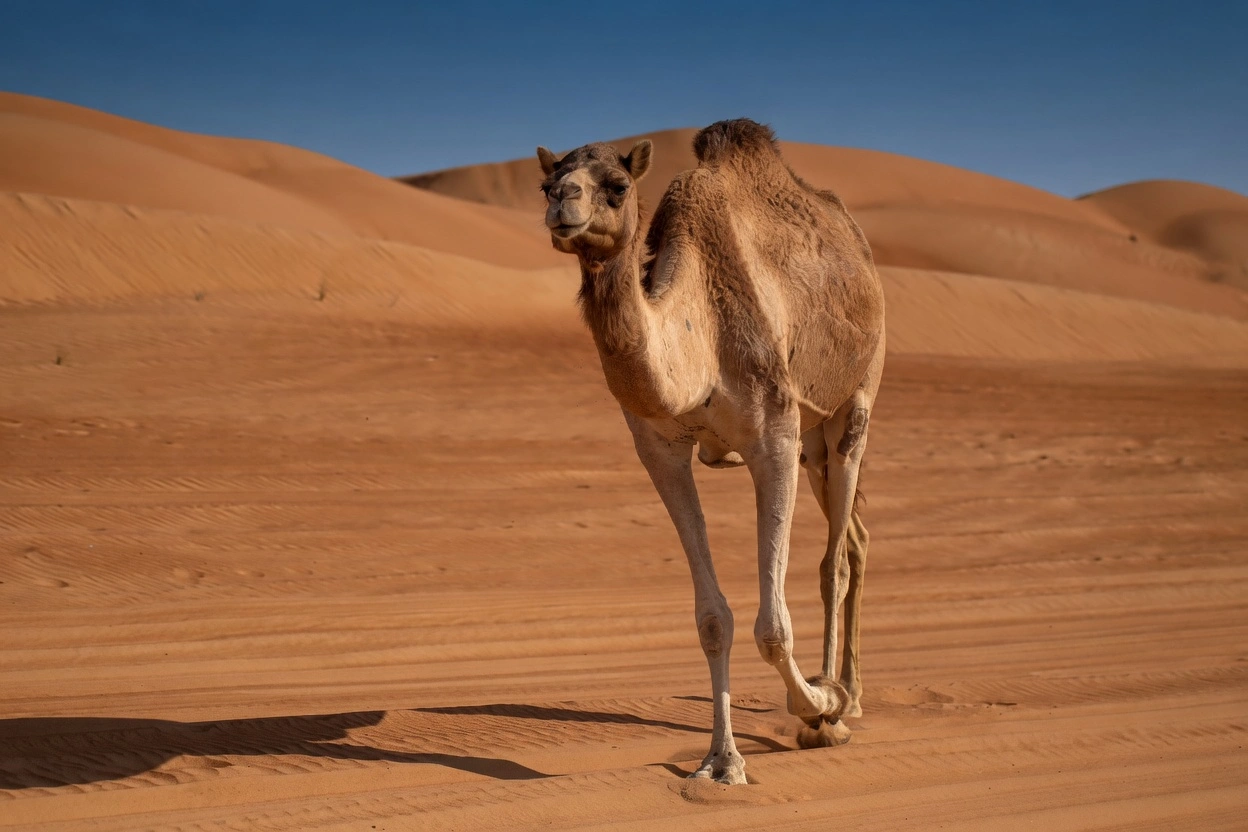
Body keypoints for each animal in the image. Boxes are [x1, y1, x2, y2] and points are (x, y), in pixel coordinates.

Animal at [536, 119, 885, 784]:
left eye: (617, 185)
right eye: (544, 182)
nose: (563, 202)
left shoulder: (773, 435)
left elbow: (773, 627)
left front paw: (818, 708)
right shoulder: (661, 451)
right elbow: (713, 619)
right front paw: (722, 761)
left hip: (855, 400)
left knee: (835, 558)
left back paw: (840, 701)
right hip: (815, 448)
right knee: (854, 536)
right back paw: (849, 690)